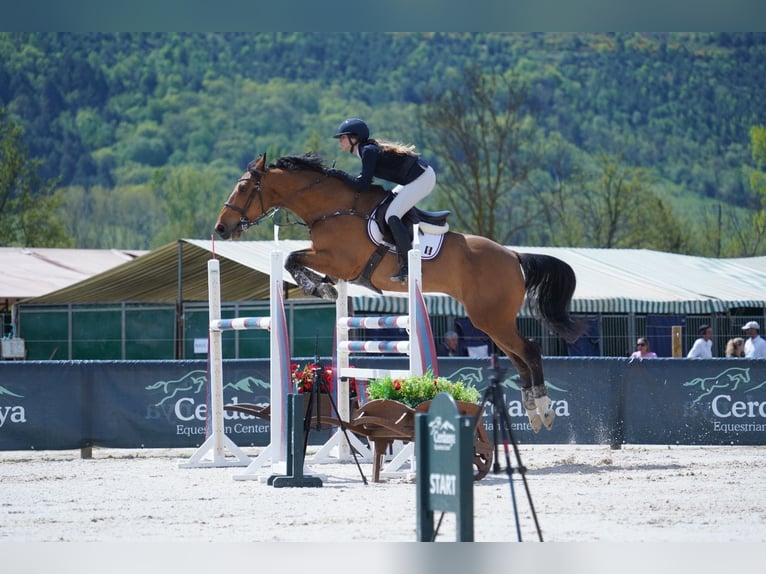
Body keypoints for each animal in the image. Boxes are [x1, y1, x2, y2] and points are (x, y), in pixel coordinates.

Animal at [216, 153, 588, 432]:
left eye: (244, 187)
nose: (221, 228)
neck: (333, 208)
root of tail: (513, 255)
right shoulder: (334, 263)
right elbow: (296, 260)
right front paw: (323, 288)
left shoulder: (340, 260)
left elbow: (292, 258)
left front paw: (317, 287)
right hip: (491, 321)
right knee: (519, 358)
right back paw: (533, 413)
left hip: (491, 318)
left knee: (530, 351)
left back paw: (544, 410)